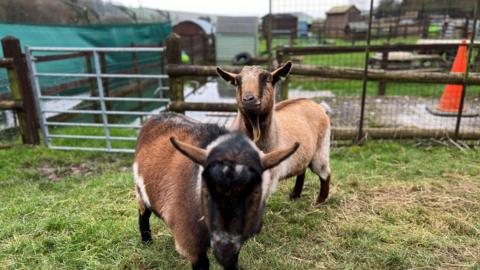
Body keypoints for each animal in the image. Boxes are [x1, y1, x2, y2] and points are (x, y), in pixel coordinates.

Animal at [133, 112, 298, 270]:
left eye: (255, 192)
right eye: (206, 189)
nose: (224, 249)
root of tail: (158, 116)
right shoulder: (190, 243)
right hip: (140, 192)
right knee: (143, 213)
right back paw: (146, 241)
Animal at [217, 62, 332, 202]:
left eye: (267, 79)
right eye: (237, 82)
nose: (248, 99)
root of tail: (318, 105)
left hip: (321, 149)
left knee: (325, 173)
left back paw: (320, 200)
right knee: (302, 169)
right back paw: (295, 195)